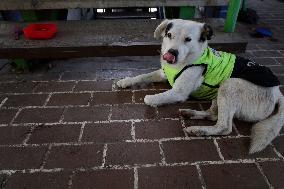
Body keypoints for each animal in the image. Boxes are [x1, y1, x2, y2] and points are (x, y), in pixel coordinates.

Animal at [116, 19, 282, 154]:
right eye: (169, 35)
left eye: (188, 39)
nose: (171, 53)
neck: (183, 62)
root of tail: (278, 93)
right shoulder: (162, 73)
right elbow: (142, 76)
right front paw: (126, 81)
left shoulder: (178, 92)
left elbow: (151, 98)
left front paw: (150, 98)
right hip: (219, 96)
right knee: (214, 114)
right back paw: (191, 114)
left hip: (229, 84)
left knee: (224, 126)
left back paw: (198, 129)